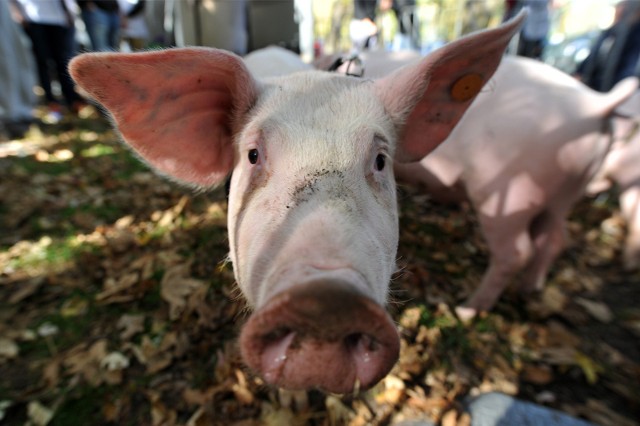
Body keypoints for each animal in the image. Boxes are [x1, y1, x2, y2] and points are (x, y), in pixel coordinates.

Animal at [392, 55, 636, 320]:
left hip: (510, 192)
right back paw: (529, 292)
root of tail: (596, 103)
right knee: (555, 238)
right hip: (566, 192)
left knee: (516, 253)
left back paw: (466, 310)